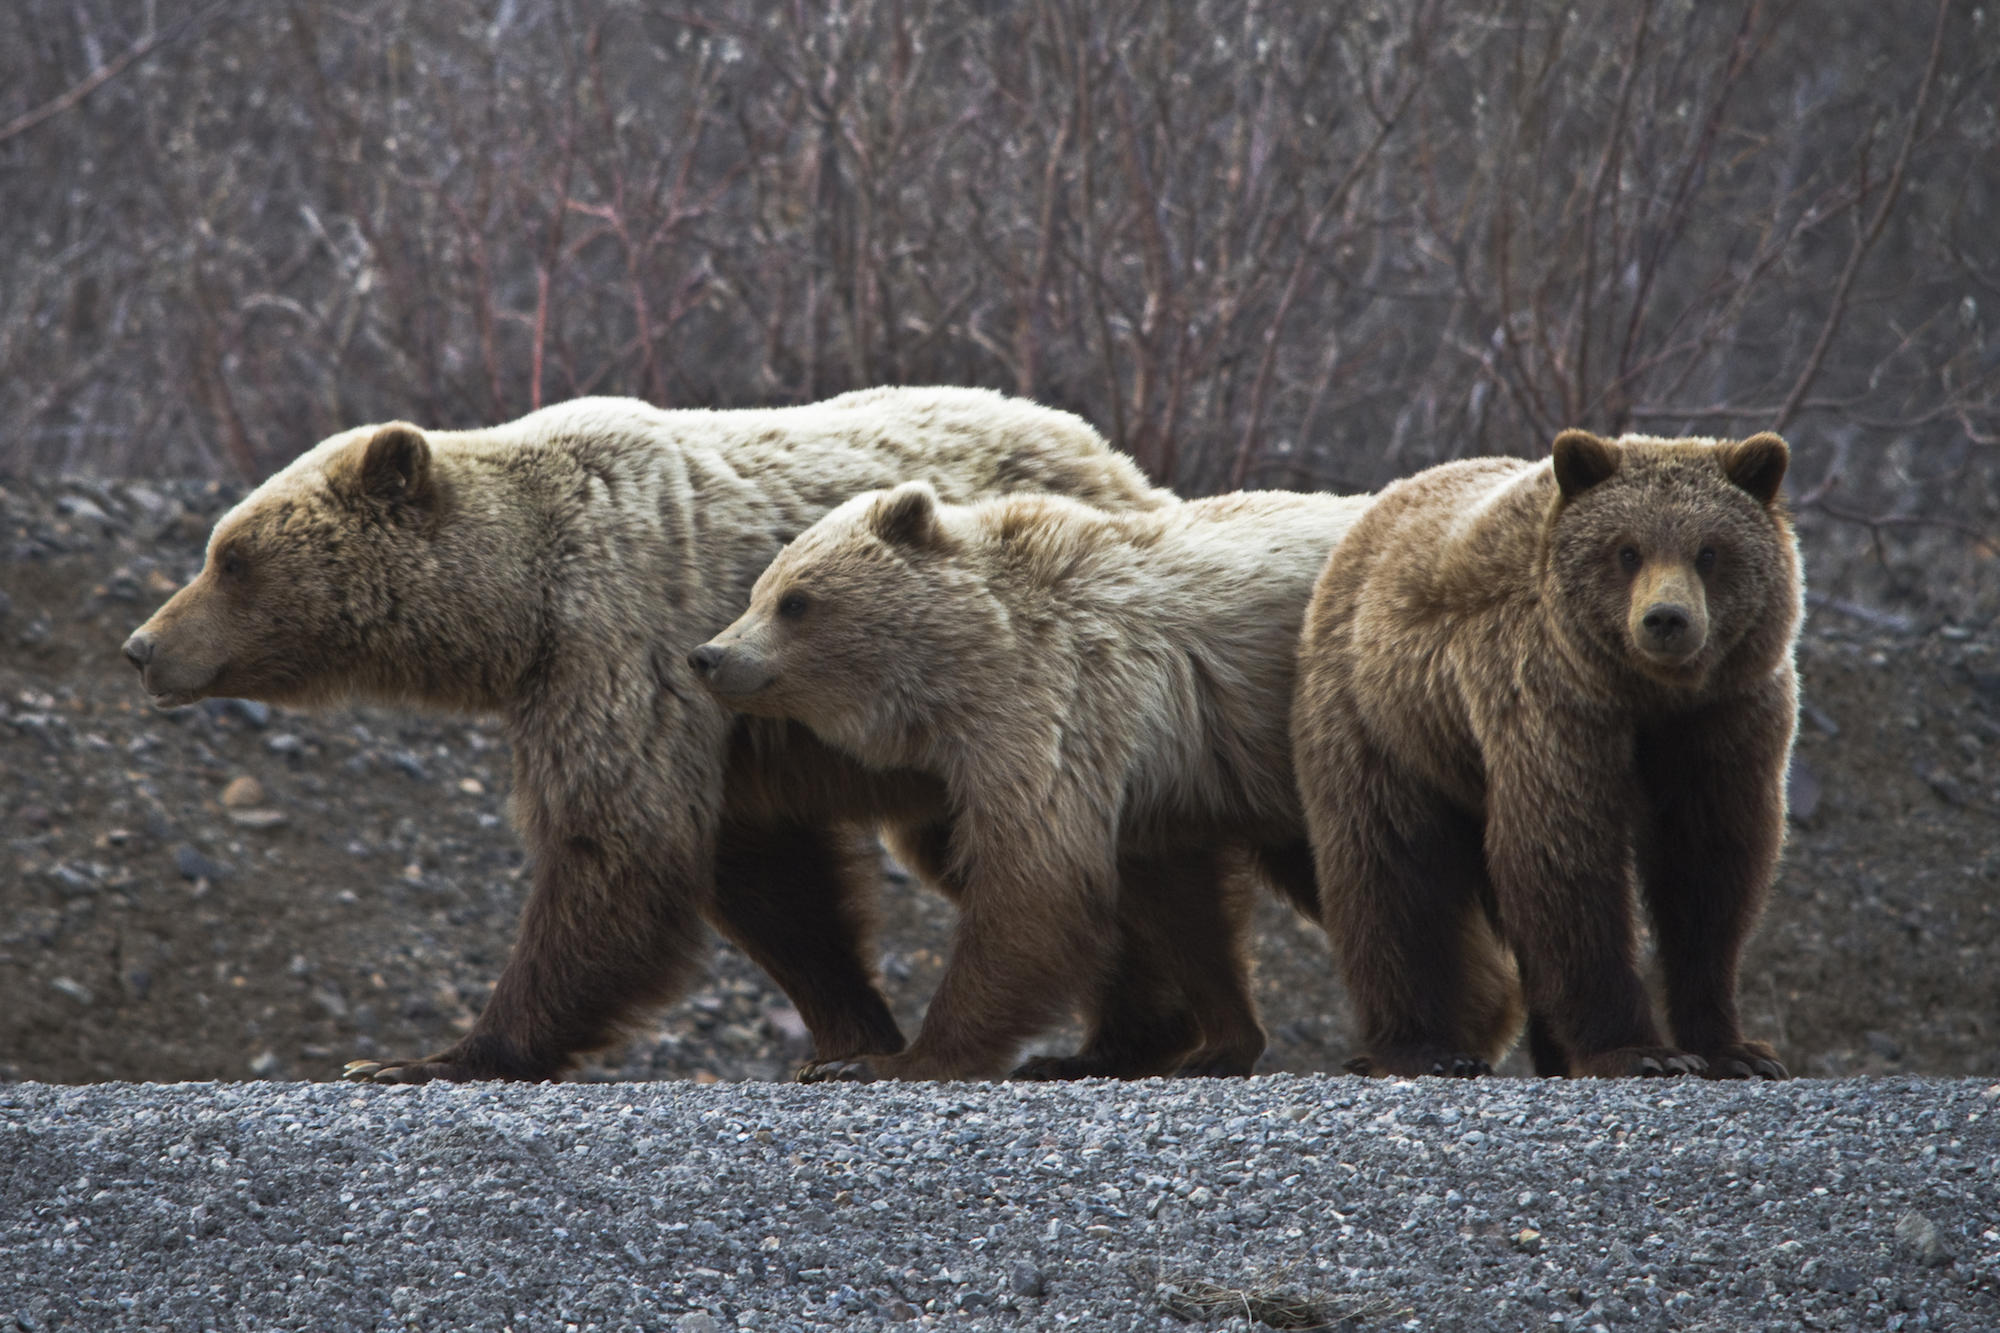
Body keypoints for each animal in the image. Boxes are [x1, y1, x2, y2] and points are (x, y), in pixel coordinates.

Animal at [121, 384, 1184, 1080]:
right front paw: (852, 1030)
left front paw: (430, 1056)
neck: (520, 608)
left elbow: (618, 843)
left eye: (231, 556)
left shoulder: (626, 638)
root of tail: (1133, 471)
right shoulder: (726, 732)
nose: (141, 646)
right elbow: (769, 883)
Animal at [684, 480, 1360, 1080]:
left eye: (796, 601)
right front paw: (1202, 1045)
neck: (964, 672)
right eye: (757, 592)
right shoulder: (1154, 784)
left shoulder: (1062, 707)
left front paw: (884, 1061)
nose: (708, 655)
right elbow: (1179, 908)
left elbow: (1032, 882)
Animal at [1288, 430, 1808, 1072]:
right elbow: (1565, 857)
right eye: (1627, 550)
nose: (1666, 619)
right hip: (1385, 726)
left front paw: (1734, 1049)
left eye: (1709, 551)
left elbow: (1708, 866)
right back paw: (1424, 1047)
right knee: (1390, 877)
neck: (1645, 693)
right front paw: (1638, 1050)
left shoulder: (1723, 716)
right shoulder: (1548, 702)